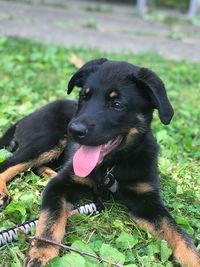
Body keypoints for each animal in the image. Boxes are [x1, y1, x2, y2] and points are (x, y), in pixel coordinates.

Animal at [0, 59, 199, 267]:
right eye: (83, 97)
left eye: (117, 105)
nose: (74, 130)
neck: (113, 166)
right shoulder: (57, 187)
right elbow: (51, 219)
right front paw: (42, 251)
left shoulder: (147, 201)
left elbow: (177, 231)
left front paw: (193, 259)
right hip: (47, 142)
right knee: (9, 164)